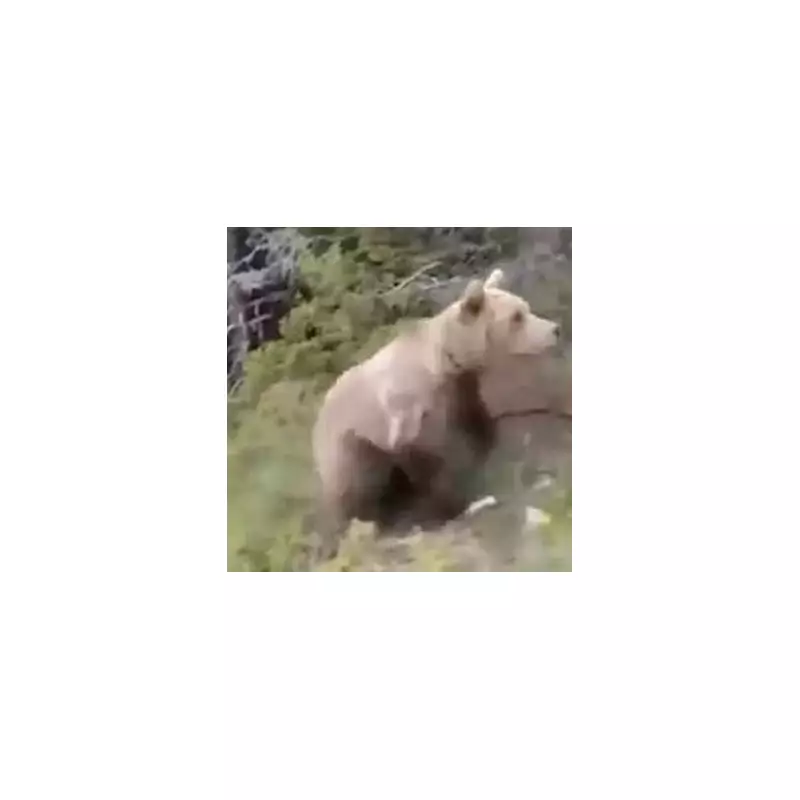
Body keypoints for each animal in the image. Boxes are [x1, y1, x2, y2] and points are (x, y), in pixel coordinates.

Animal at [310, 268, 560, 557]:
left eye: (525, 308)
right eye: (517, 316)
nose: (555, 329)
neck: (450, 363)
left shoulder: (461, 394)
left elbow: (476, 434)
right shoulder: (412, 414)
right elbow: (436, 461)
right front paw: (444, 507)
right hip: (348, 447)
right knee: (358, 489)